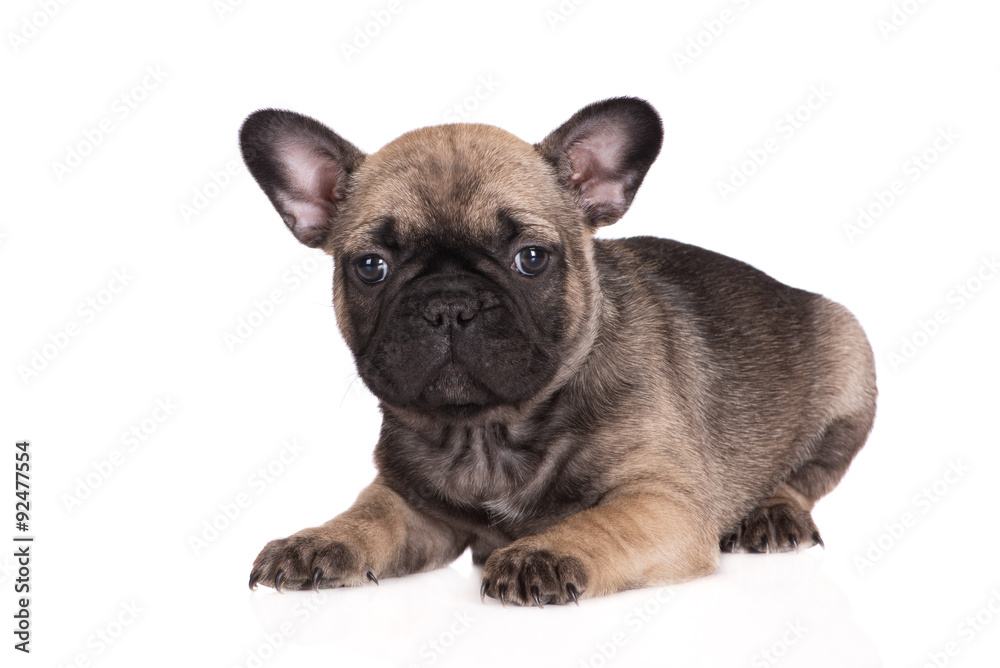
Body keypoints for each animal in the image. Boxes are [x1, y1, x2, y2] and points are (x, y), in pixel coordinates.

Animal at [238, 98, 872, 604]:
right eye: (371, 267)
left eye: (531, 258)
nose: (448, 303)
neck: (486, 431)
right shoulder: (412, 501)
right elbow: (369, 514)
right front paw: (320, 539)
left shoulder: (661, 502)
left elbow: (601, 525)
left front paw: (541, 553)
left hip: (849, 356)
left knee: (810, 475)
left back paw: (772, 513)